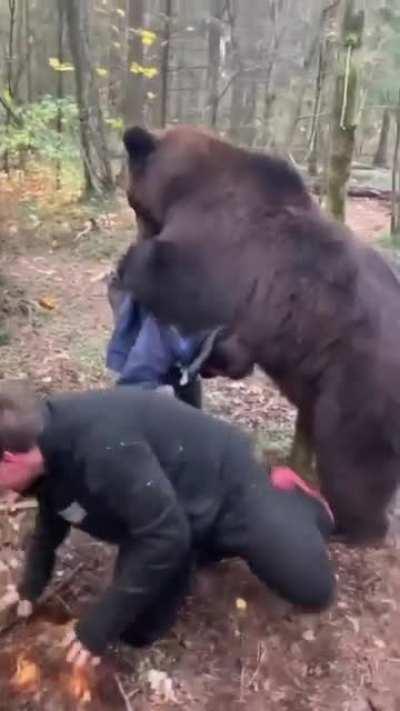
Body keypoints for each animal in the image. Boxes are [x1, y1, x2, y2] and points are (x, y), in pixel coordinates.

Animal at [116, 124, 400, 545]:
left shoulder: (224, 247)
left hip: (362, 383)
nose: (139, 231)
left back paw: (350, 527)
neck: (185, 187)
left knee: (352, 457)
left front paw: (130, 262)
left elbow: (182, 281)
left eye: (134, 204)